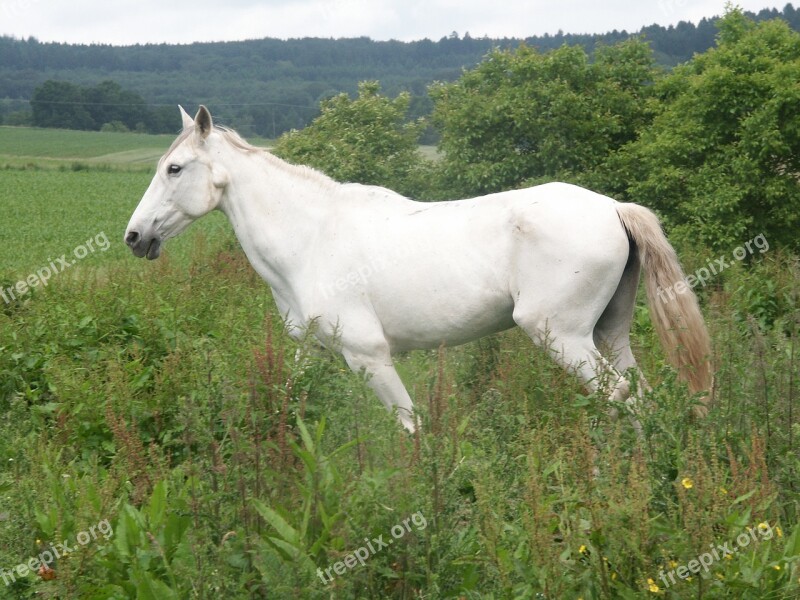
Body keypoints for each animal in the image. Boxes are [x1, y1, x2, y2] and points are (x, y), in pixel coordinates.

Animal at [125, 106, 712, 432]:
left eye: (174, 168)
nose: (135, 237)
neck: (311, 239)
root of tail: (613, 208)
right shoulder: (312, 350)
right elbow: (290, 404)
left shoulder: (370, 357)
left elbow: (409, 427)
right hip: (609, 334)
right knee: (641, 395)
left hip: (562, 336)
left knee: (620, 398)